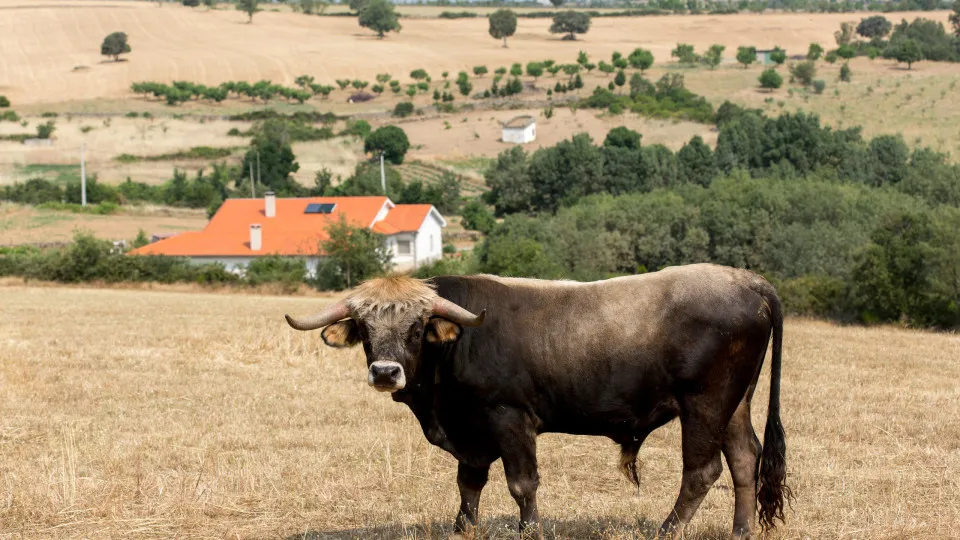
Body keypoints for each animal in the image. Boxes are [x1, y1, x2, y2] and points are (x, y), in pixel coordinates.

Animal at [286, 264, 796, 536]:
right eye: (365, 328)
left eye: (416, 328)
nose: (386, 372)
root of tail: (748, 281)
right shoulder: (470, 432)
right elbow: (468, 485)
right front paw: (462, 528)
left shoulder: (510, 419)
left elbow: (521, 485)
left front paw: (528, 529)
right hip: (735, 402)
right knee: (745, 459)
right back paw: (741, 531)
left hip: (704, 404)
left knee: (701, 471)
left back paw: (667, 530)